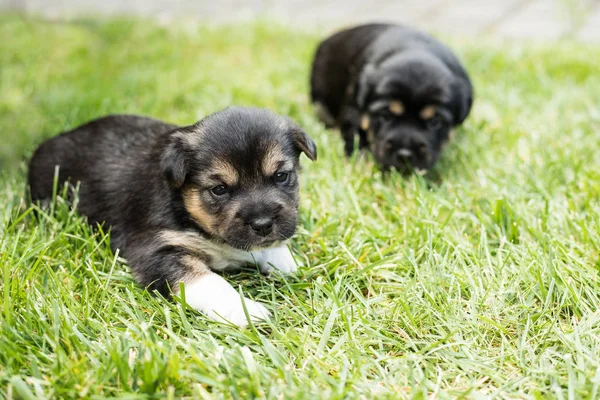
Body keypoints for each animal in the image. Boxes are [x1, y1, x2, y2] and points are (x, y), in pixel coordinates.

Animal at [27, 108, 318, 326]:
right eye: (219, 189)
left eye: (281, 176)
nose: (263, 224)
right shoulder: (157, 251)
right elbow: (209, 282)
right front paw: (244, 311)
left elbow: (274, 250)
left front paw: (289, 264)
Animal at [310, 22, 474, 171]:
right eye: (385, 116)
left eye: (435, 121)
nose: (405, 155)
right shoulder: (352, 113)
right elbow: (355, 139)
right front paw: (360, 165)